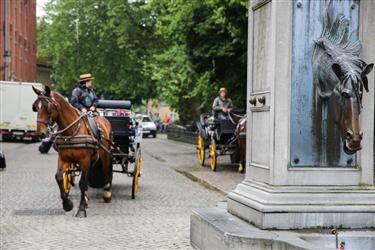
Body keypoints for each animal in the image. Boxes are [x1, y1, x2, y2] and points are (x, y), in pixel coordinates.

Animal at [32, 85, 112, 217]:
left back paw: (107, 193)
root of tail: (102, 117)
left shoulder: (84, 160)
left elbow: (82, 183)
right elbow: (59, 177)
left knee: (107, 171)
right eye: (35, 107)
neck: (72, 132)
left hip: (105, 155)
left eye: (48, 108)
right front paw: (67, 204)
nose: (41, 133)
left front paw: (81, 209)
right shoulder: (64, 159)